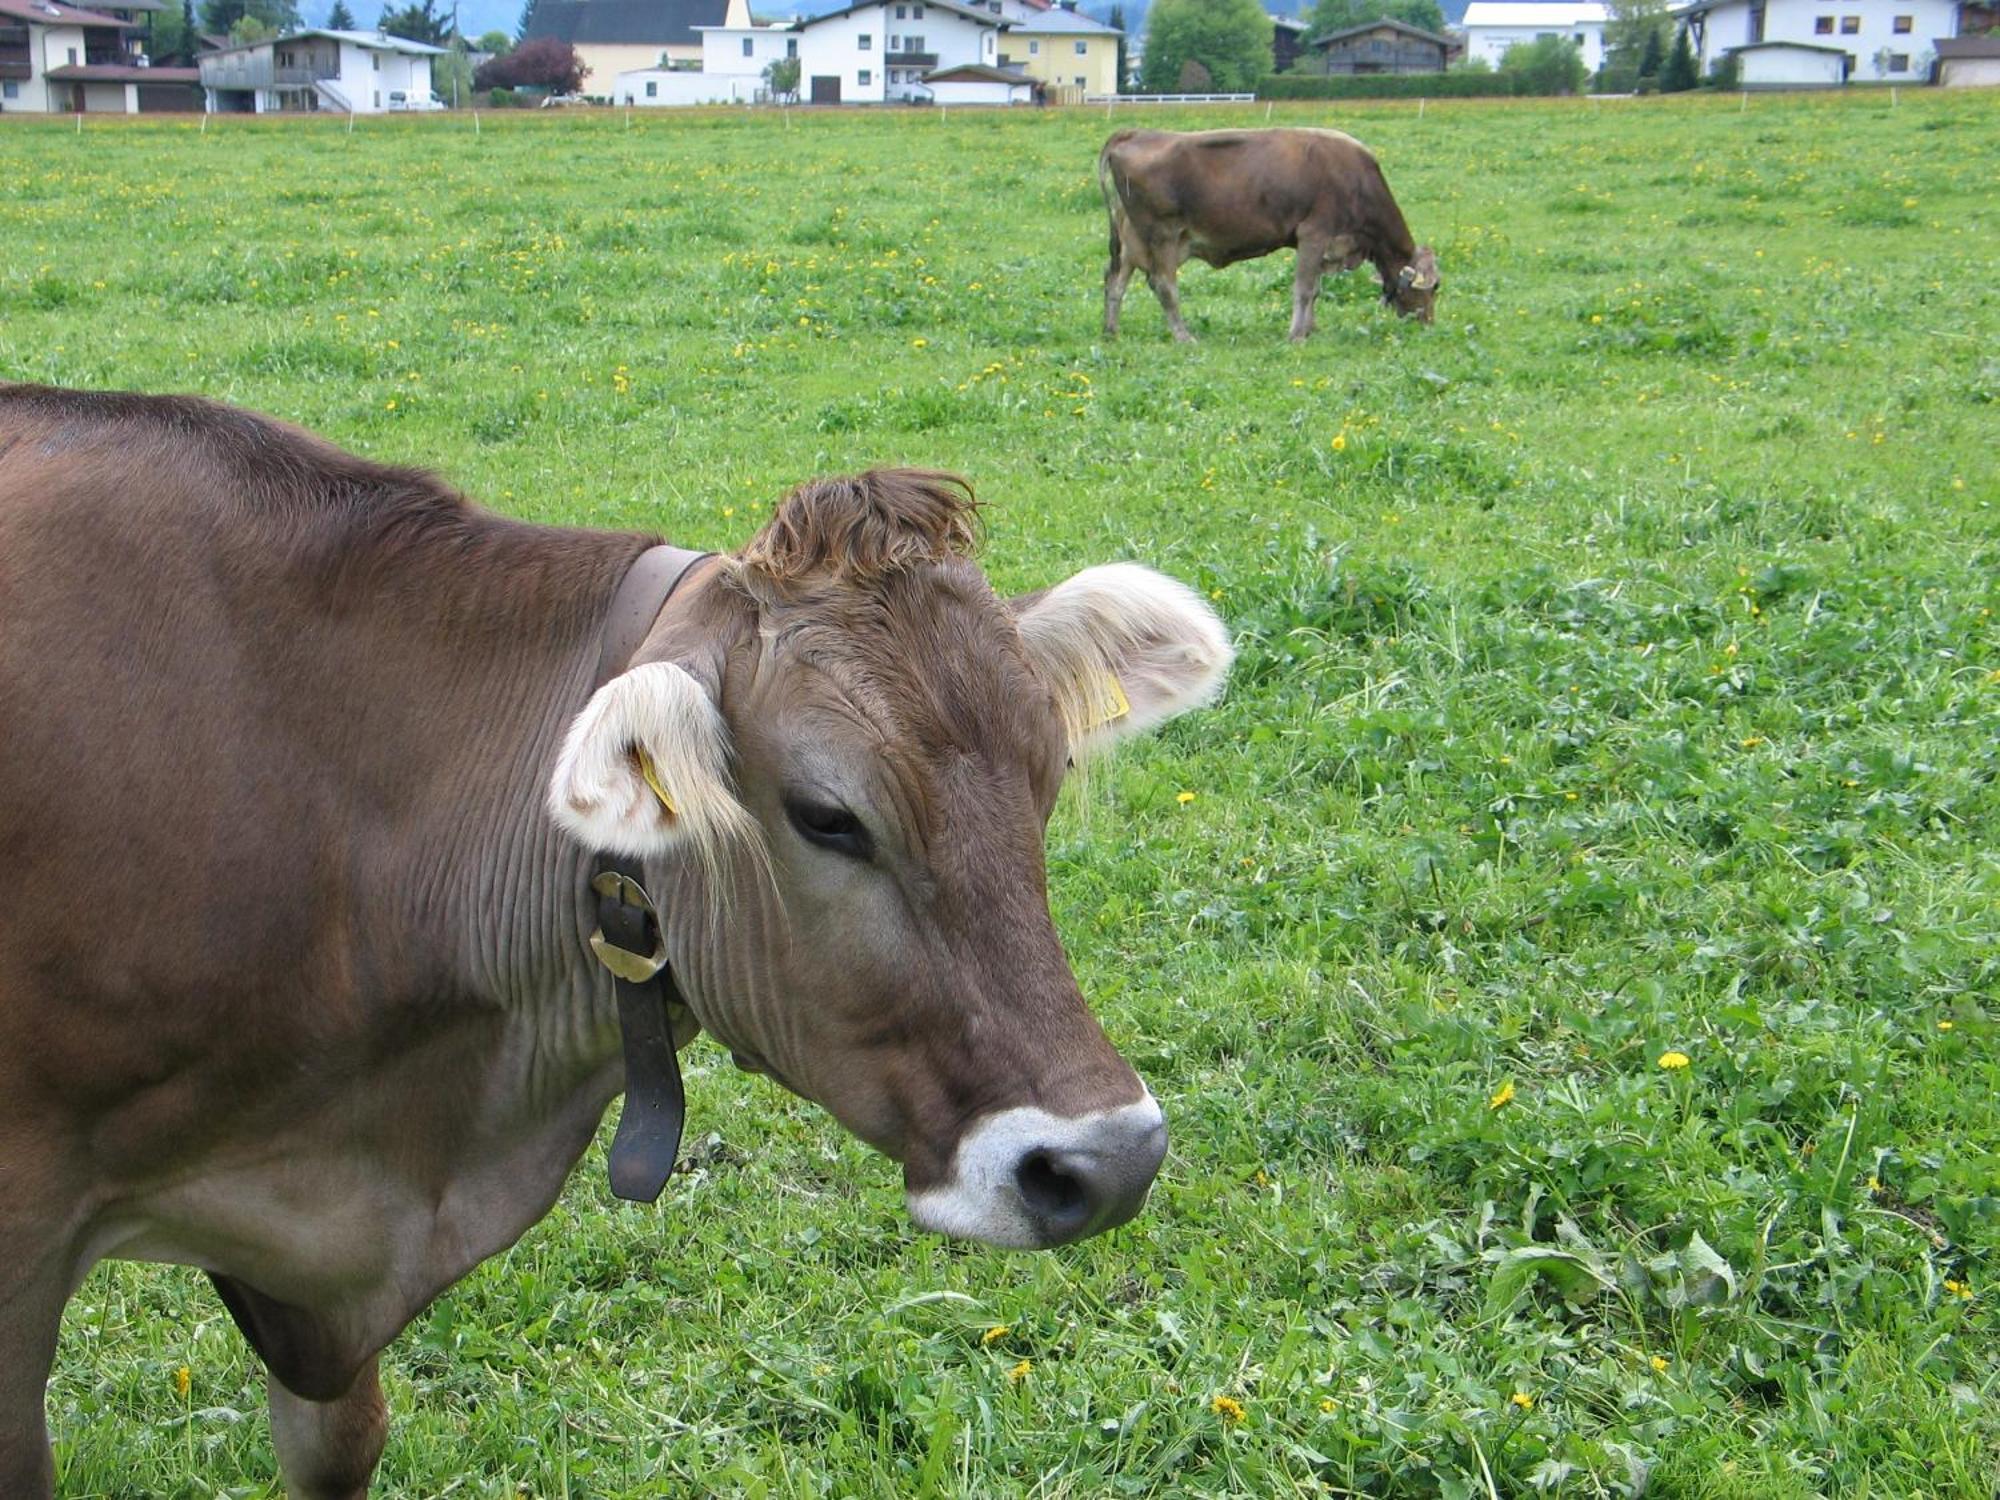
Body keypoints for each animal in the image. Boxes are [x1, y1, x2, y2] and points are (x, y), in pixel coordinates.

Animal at [1096, 126, 1440, 344]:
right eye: (1435, 288)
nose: (1428, 324)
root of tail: (1136, 133)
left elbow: (1315, 288)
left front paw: (1310, 329)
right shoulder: (1314, 233)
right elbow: (1304, 289)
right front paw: (1296, 335)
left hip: (1131, 239)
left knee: (1115, 281)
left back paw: (1112, 331)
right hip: (1162, 235)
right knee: (1164, 285)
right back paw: (1184, 336)